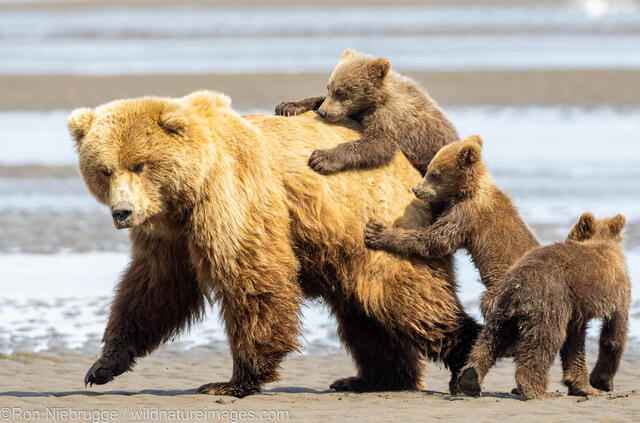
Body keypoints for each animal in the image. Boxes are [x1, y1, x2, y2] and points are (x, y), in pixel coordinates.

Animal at [69, 90, 480, 398]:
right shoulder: (169, 236)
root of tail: (412, 166)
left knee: (405, 298)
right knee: (365, 313)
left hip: (382, 224)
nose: (122, 212)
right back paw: (372, 378)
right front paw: (103, 365)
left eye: (140, 164)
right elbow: (153, 288)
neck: (185, 197)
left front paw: (233, 381)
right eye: (104, 169)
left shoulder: (233, 197)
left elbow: (252, 277)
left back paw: (466, 363)